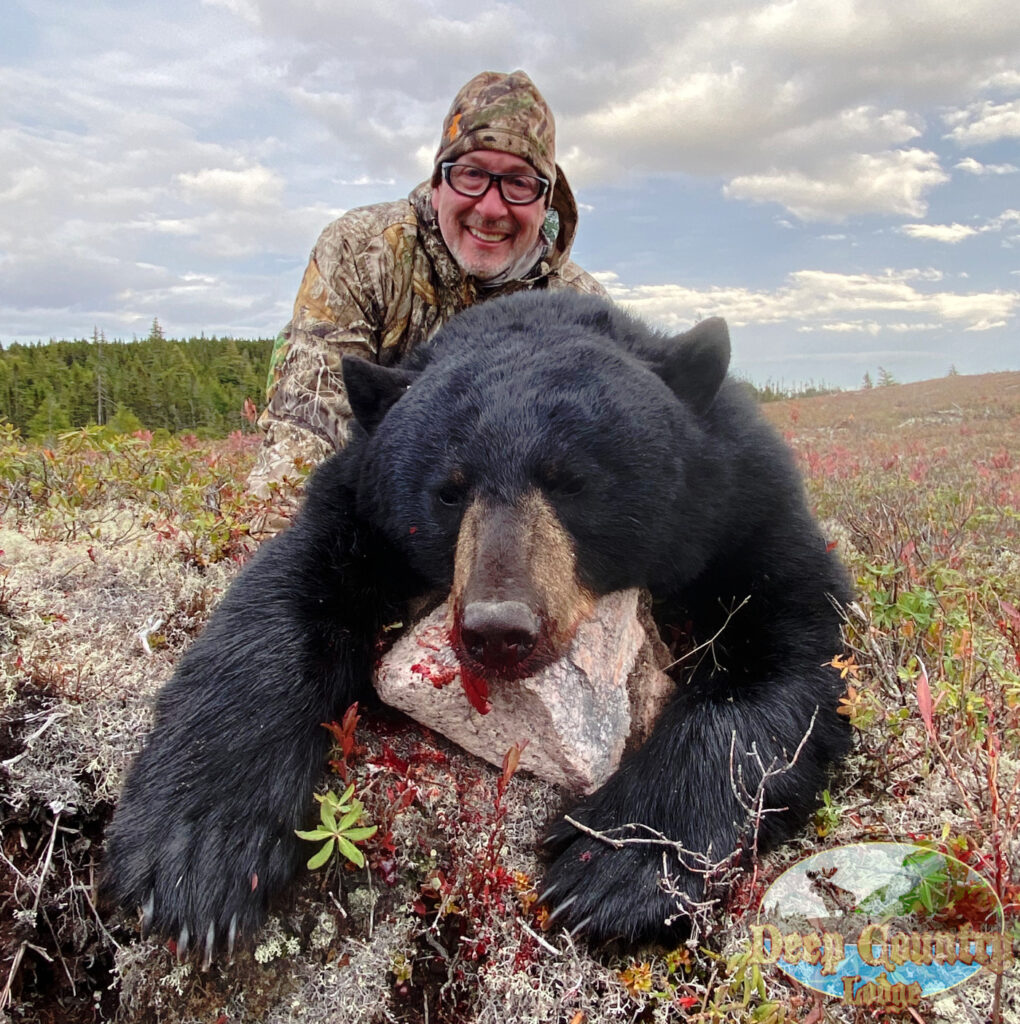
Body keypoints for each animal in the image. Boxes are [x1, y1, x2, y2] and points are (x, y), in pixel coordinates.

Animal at [103, 290, 851, 958]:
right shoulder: (353, 501)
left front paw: (612, 866)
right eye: (448, 489)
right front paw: (198, 847)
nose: (499, 628)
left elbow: (794, 653)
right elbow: (282, 600)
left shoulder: (745, 503)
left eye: (572, 481)